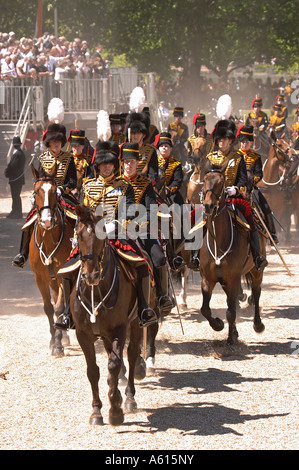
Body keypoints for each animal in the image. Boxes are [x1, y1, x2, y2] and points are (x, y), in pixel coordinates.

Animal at [28, 164, 75, 352]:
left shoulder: (63, 275)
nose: (47, 221)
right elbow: (49, 308)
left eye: (55, 191)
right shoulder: (39, 277)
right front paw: (54, 339)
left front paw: (57, 344)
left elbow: (60, 307)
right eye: (36, 191)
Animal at [71, 206, 156, 426]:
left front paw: (116, 409)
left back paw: (129, 399)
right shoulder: (83, 334)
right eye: (79, 235)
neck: (96, 290)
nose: (90, 275)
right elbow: (93, 371)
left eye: (101, 235)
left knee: (132, 355)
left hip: (135, 323)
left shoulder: (119, 329)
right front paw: (96, 411)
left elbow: (114, 365)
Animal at [199, 167, 268, 344]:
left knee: (256, 293)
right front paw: (218, 325)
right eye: (204, 180)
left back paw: (258, 325)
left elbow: (231, 311)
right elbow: (205, 309)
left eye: (221, 182)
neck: (219, 242)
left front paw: (230, 339)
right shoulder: (208, 278)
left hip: (256, 271)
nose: (208, 206)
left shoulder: (234, 278)